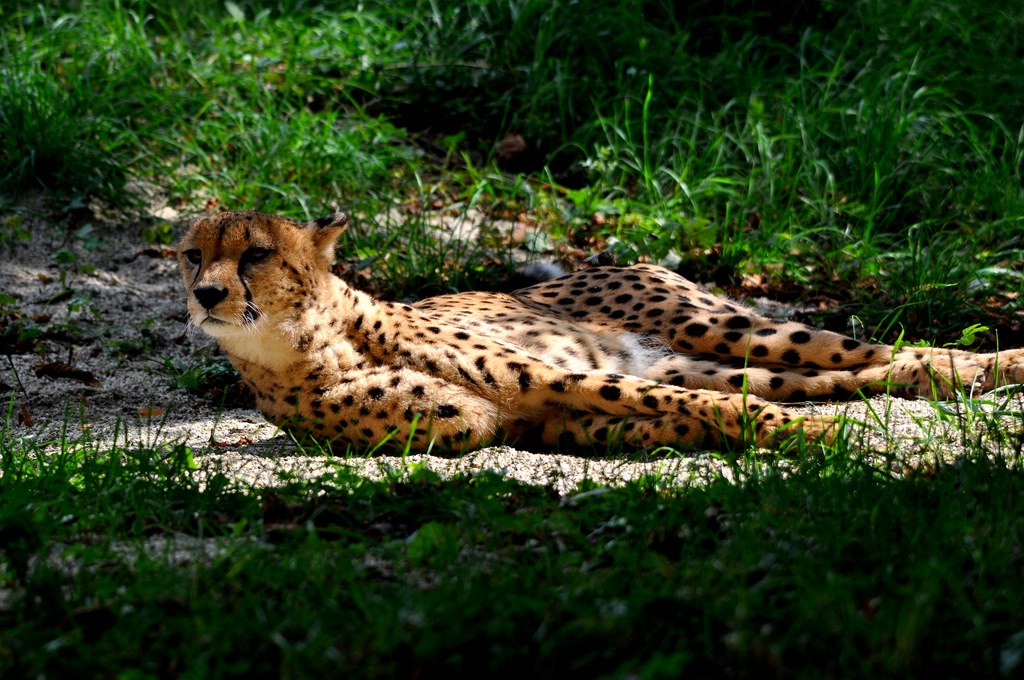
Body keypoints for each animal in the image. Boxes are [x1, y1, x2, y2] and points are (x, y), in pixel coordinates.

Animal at [176, 209, 1024, 454]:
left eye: (254, 253)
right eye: (191, 254)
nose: (207, 293)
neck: (303, 339)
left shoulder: (550, 377)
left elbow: (709, 412)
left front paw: (804, 438)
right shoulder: (527, 418)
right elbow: (670, 416)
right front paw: (799, 434)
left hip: (723, 326)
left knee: (876, 350)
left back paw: (998, 360)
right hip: (703, 359)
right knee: (855, 376)